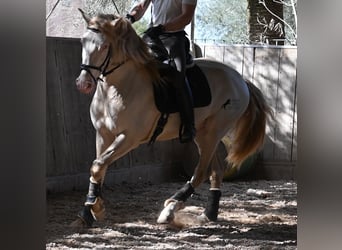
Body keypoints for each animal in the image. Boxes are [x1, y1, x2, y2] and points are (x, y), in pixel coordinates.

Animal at [72, 9, 272, 229]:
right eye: (83, 42)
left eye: (105, 46)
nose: (83, 84)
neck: (118, 88)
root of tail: (240, 79)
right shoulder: (103, 135)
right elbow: (98, 168)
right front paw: (89, 211)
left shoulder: (129, 138)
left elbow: (99, 165)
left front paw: (95, 208)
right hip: (205, 134)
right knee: (216, 171)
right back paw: (208, 214)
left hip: (212, 133)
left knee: (201, 173)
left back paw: (170, 210)